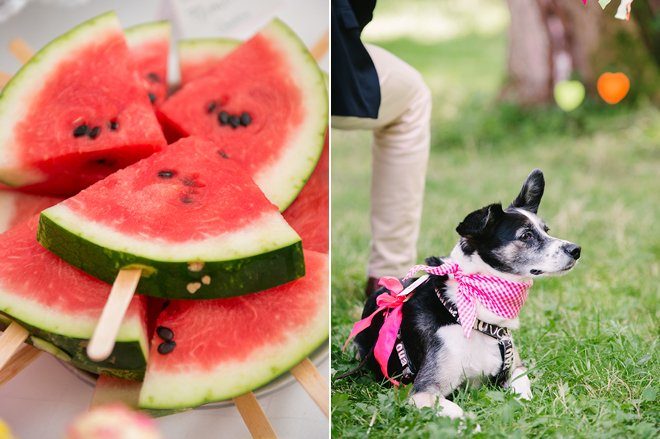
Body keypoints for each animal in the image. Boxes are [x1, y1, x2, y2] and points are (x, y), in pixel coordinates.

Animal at [354, 168, 580, 420]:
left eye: (546, 231)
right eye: (526, 236)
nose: (576, 250)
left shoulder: (516, 369)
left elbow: (524, 391)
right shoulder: (422, 393)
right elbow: (459, 413)